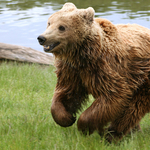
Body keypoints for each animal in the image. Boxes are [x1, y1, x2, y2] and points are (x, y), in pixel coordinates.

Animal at [37, 2, 150, 142]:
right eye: (49, 22)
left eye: (62, 27)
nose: (42, 38)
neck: (81, 54)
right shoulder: (71, 71)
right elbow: (66, 93)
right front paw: (67, 118)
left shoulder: (105, 68)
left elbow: (113, 95)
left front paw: (83, 126)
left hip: (143, 78)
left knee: (133, 109)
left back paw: (112, 134)